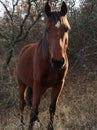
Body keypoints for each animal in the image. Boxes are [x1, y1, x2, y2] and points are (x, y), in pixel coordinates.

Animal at [16, 1, 70, 130]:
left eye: (66, 29)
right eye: (47, 29)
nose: (58, 62)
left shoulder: (59, 84)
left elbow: (52, 108)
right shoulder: (38, 84)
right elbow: (33, 112)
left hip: (41, 88)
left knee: (31, 105)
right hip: (22, 84)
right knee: (23, 104)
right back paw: (22, 125)